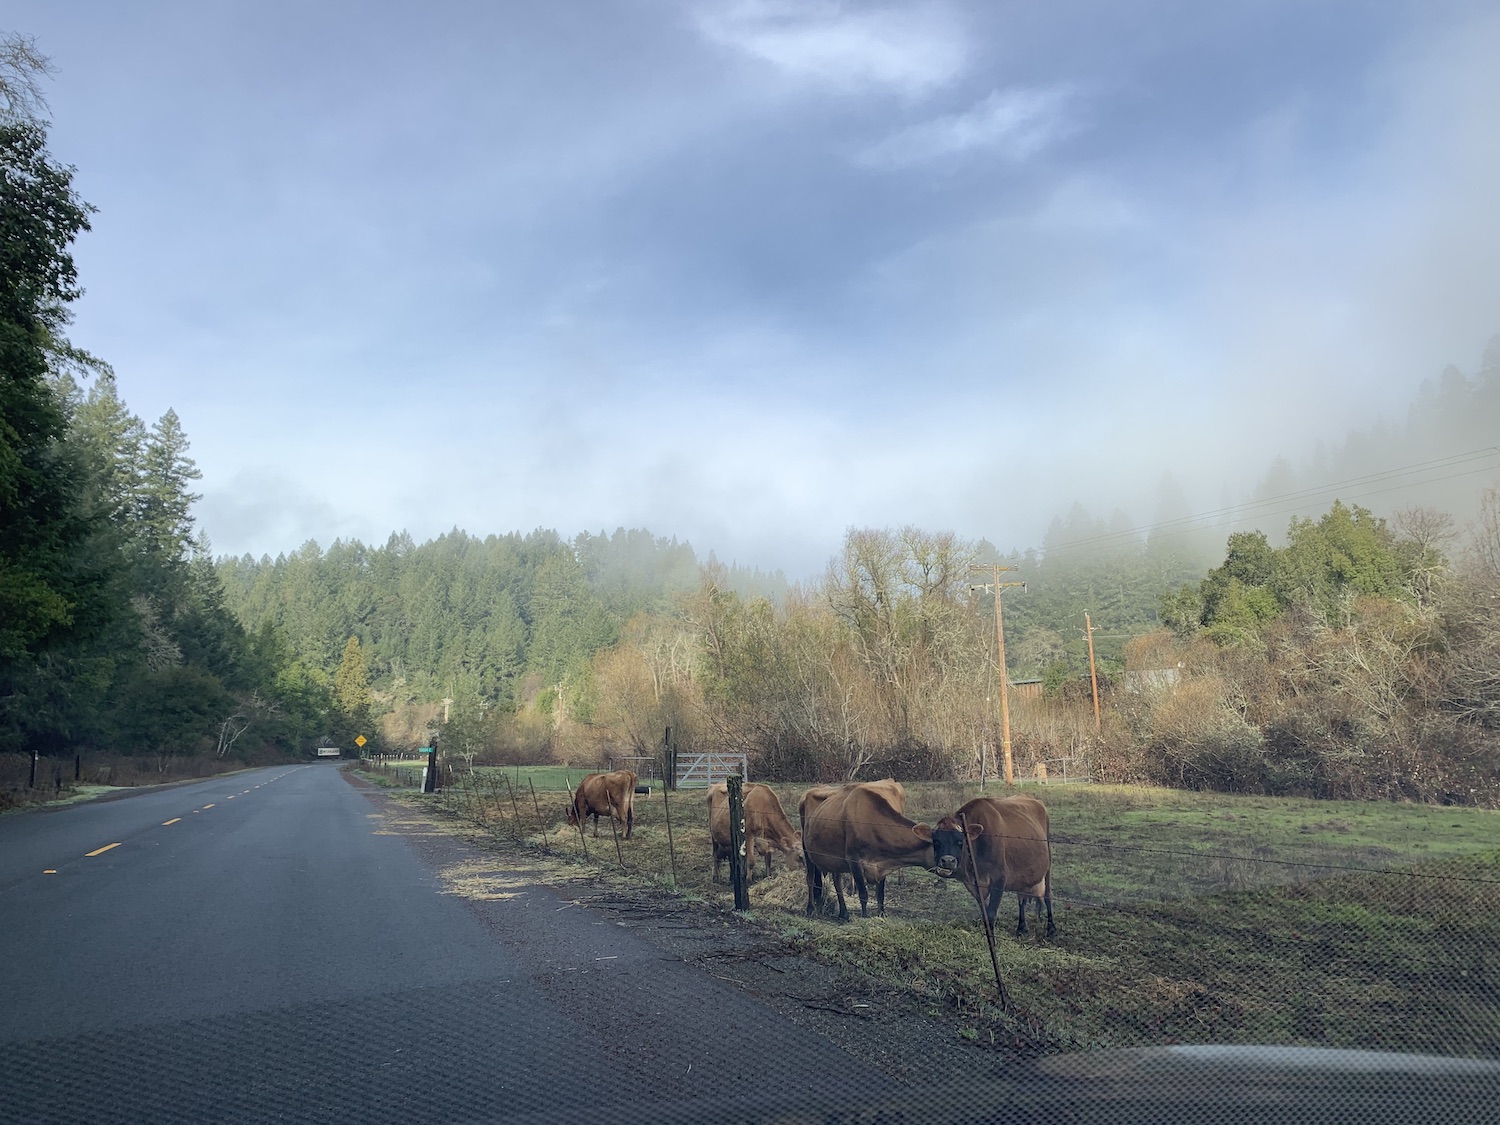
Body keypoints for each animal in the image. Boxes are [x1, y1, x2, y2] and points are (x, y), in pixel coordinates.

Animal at [804, 780, 930, 918]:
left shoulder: (882, 863)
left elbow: (880, 893)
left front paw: (882, 914)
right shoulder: (854, 860)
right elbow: (863, 893)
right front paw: (864, 916)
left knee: (836, 881)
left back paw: (843, 913)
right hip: (808, 850)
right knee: (811, 878)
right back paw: (811, 908)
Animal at [924, 792, 1056, 942]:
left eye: (960, 841)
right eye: (936, 841)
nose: (947, 861)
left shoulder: (999, 879)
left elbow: (991, 913)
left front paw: (992, 940)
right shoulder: (973, 884)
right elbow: (985, 913)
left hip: (1048, 865)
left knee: (1047, 895)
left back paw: (1051, 929)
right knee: (1021, 898)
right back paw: (1022, 928)